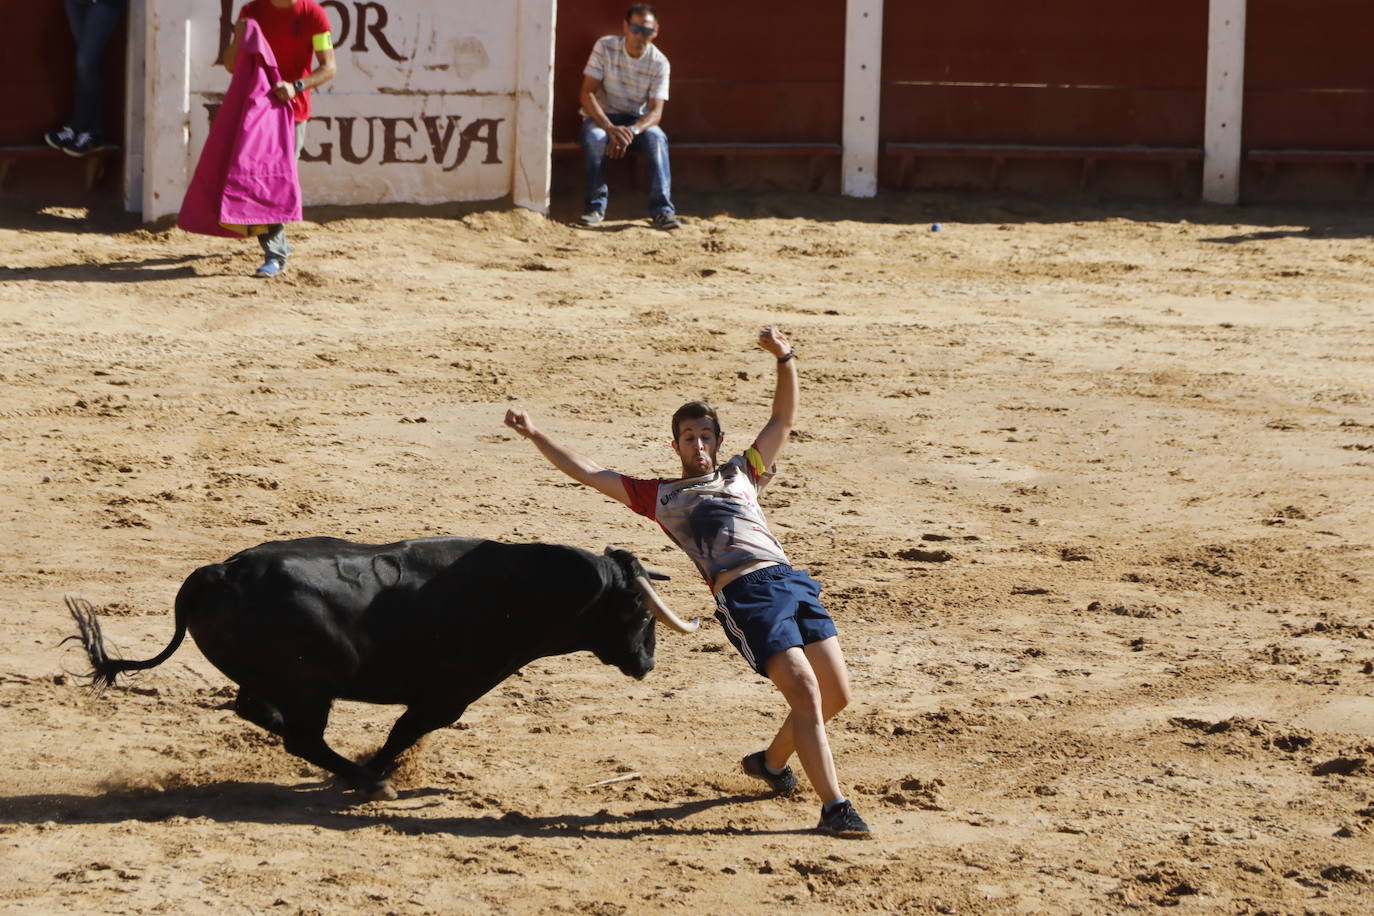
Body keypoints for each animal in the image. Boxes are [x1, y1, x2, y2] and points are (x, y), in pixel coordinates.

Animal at [64, 541, 697, 796]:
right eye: (643, 611)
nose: (647, 663)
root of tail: (214, 573)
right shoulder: (450, 695)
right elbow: (404, 732)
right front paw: (380, 771)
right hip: (311, 687)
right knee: (300, 736)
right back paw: (367, 781)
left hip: (281, 684)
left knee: (257, 711)